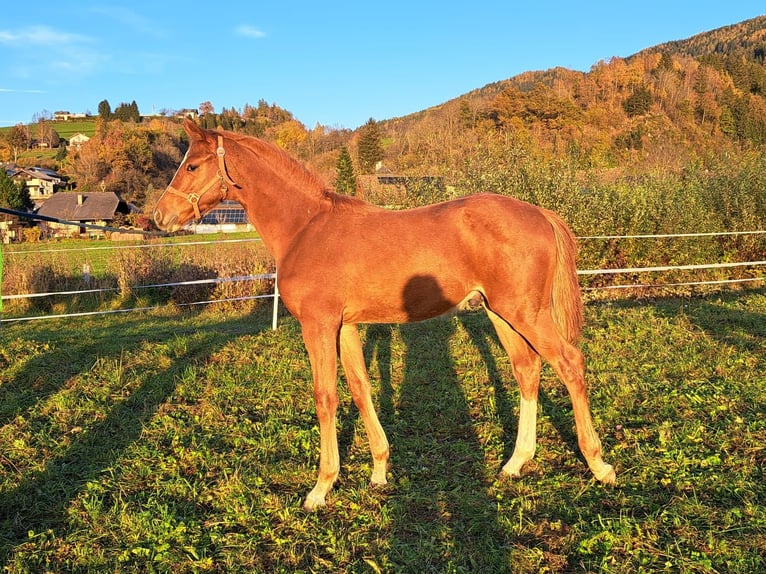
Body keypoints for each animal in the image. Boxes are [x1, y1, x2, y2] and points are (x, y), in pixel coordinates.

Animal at [153, 119, 616, 510]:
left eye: (192, 165)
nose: (159, 216)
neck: (306, 228)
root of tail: (540, 213)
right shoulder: (346, 327)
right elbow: (361, 389)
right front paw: (378, 470)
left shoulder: (318, 326)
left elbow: (325, 397)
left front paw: (321, 488)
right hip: (501, 313)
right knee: (528, 370)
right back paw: (516, 463)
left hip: (525, 313)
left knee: (570, 363)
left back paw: (599, 465)